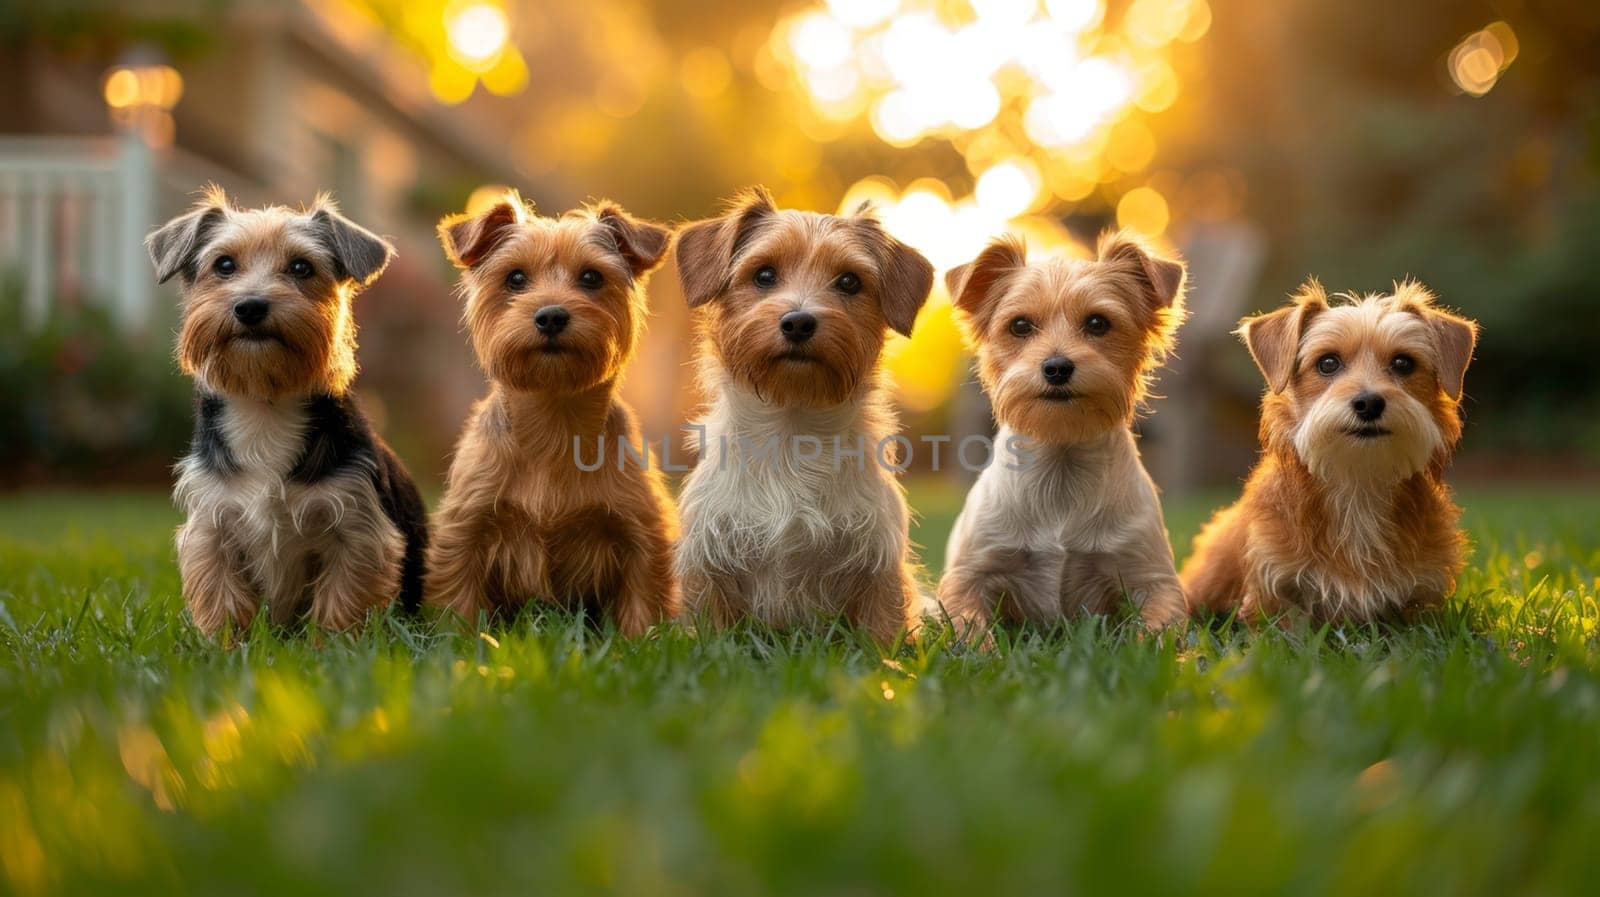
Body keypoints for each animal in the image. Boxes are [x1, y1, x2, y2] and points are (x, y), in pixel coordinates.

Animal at [146, 187, 425, 636]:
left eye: (301, 267)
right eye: (224, 264)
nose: (250, 306)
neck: (265, 403)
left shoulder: (358, 529)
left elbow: (342, 600)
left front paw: (332, 645)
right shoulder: (212, 528)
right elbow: (222, 599)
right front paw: (224, 647)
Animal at [422, 192, 678, 633]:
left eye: (592, 277)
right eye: (515, 278)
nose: (551, 315)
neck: (553, 417)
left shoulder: (640, 529)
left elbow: (643, 597)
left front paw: (642, 638)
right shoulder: (465, 526)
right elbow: (459, 596)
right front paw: (461, 637)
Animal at [665, 187, 934, 642]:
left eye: (849, 281)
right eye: (764, 275)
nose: (798, 322)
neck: (793, 428)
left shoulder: (877, 570)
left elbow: (882, 635)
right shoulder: (709, 565)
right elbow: (709, 633)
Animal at [934, 230, 1190, 636]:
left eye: (1098, 323)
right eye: (1020, 325)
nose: (1056, 367)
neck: (1061, 457)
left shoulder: (1153, 579)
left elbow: (1156, 631)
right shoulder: (969, 576)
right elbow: (969, 627)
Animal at [1184, 279, 1478, 623]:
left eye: (1403, 363)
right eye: (1328, 363)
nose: (1369, 402)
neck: (1357, 483)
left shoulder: (1419, 601)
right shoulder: (1275, 589)